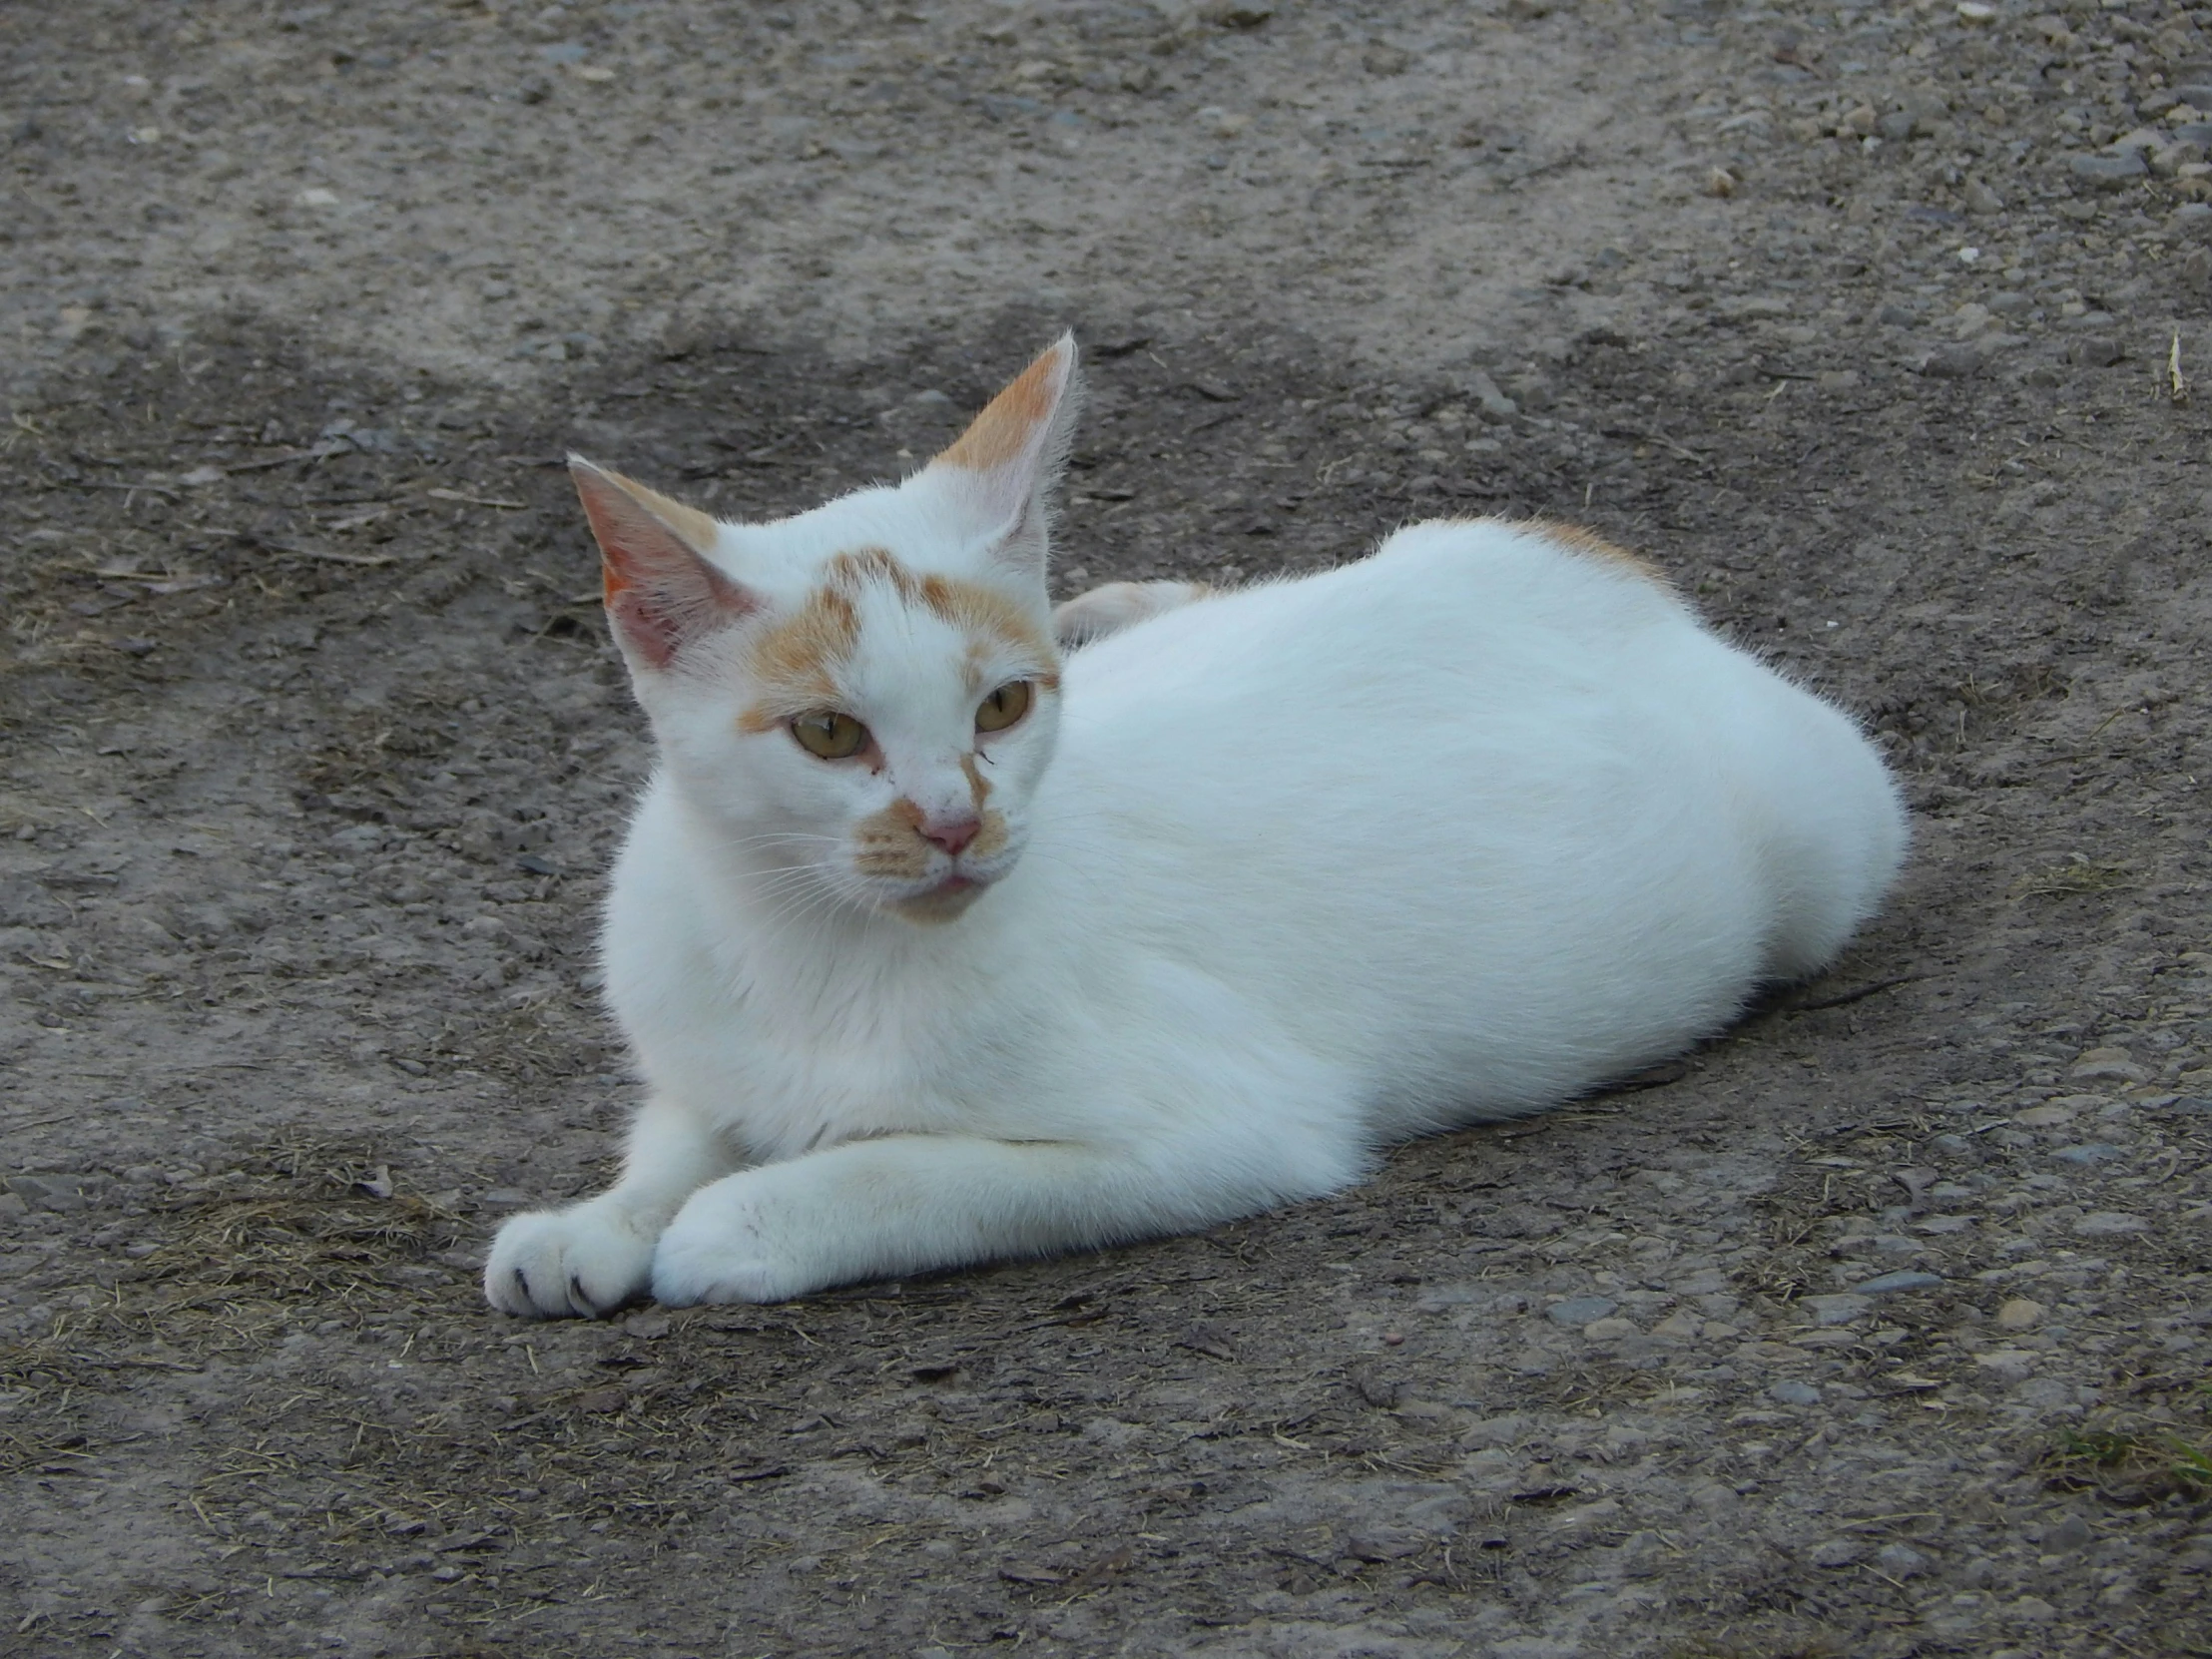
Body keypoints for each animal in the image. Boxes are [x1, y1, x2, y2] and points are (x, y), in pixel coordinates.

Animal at [484, 340, 1902, 1327]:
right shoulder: (703, 1041)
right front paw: (597, 1218)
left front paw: (742, 1218)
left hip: (1823, 842)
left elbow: (909, 1171)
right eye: (830, 735)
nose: (953, 822)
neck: (810, 950)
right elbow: (681, 1125)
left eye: (1001, 708)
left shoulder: (1225, 1133)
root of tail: (1592, 562)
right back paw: (1122, 602)